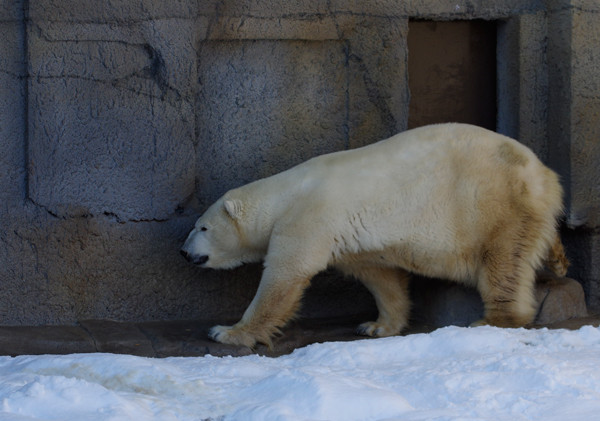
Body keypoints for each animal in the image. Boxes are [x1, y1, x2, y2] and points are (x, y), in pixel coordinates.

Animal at [180, 123, 568, 346]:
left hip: (489, 201)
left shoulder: (308, 219)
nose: (184, 252)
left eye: (202, 227)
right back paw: (558, 261)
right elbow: (380, 277)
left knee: (504, 260)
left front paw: (226, 332)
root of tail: (543, 173)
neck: (286, 194)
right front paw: (376, 326)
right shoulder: (352, 239)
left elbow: (284, 276)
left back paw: (492, 319)